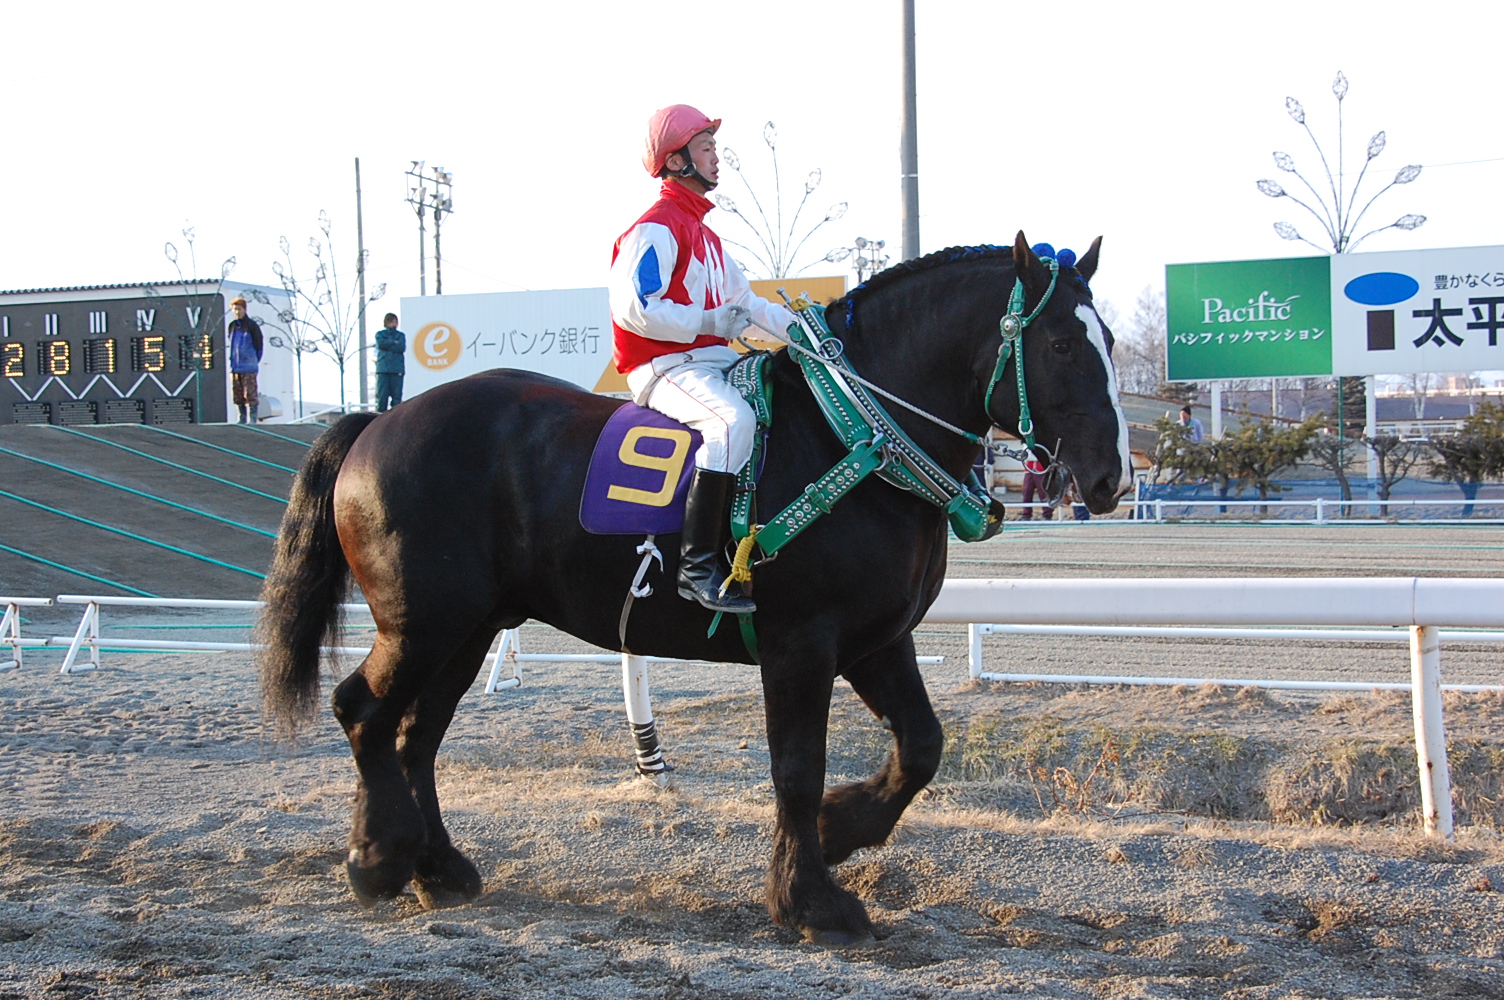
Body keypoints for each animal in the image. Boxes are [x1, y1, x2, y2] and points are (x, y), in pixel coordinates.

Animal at [256, 231, 1132, 947]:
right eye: (1062, 343)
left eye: (1112, 340)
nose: (1112, 478)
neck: (853, 435)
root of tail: (376, 423)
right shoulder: (801, 644)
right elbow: (796, 765)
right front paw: (811, 901)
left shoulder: (877, 641)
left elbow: (921, 747)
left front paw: (838, 830)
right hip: (423, 624)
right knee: (363, 712)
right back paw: (377, 858)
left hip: (465, 632)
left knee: (416, 736)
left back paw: (435, 866)